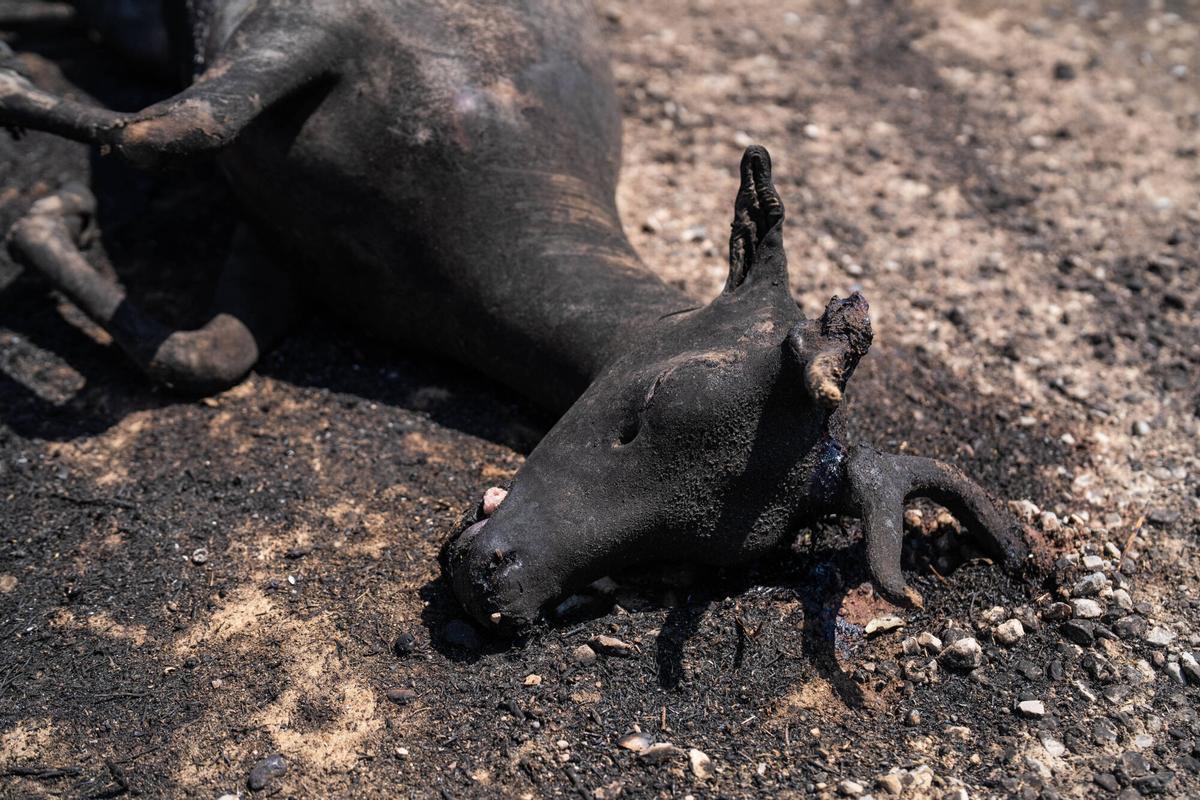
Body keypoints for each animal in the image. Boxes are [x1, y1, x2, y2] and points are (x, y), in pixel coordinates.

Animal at [0, 0, 1033, 632]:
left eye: (695, 550)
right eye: (639, 414)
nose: (498, 579)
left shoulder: (282, 251)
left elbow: (203, 354)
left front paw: (47, 217)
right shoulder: (310, 26)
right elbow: (166, 128)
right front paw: (23, 127)